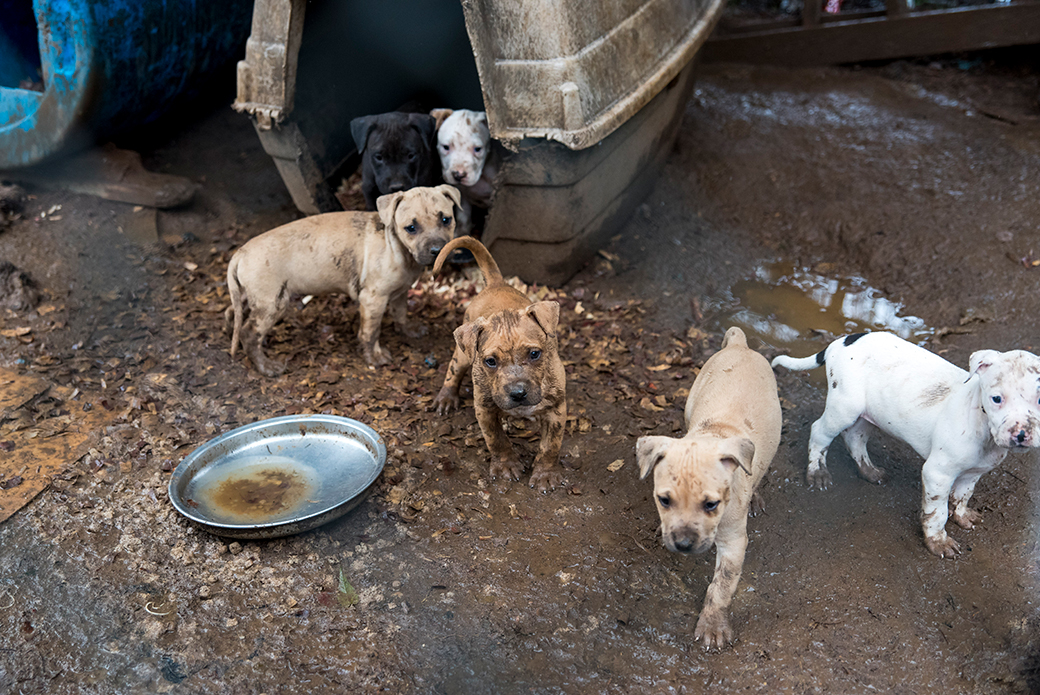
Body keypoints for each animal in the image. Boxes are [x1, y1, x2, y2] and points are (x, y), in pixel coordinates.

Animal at [227, 184, 459, 374]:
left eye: (446, 220)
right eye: (411, 228)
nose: (438, 250)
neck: (396, 247)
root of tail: (240, 253)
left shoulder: (400, 293)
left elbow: (401, 313)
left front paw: (409, 330)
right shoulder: (373, 300)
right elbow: (370, 332)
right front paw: (374, 357)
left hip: (254, 296)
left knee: (236, 310)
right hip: (272, 303)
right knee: (249, 334)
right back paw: (266, 366)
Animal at [426, 108, 499, 236]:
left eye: (478, 149)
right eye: (445, 147)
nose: (459, 175)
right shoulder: (462, 196)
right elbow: (463, 218)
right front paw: (461, 233)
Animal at [428, 236, 565, 491]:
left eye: (534, 354)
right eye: (490, 361)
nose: (518, 393)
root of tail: (496, 283)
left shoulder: (556, 410)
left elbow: (551, 446)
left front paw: (545, 473)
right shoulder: (485, 409)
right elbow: (497, 440)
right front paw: (506, 465)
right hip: (462, 356)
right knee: (453, 371)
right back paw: (446, 398)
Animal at [632, 328, 782, 649]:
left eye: (711, 505)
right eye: (664, 500)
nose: (683, 544)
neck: (714, 435)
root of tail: (740, 345)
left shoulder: (734, 543)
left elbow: (721, 586)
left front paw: (713, 623)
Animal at [769, 330, 1040, 557]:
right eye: (997, 398)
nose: (1021, 434)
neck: (982, 425)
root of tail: (845, 339)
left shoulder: (973, 473)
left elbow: (963, 496)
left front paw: (962, 516)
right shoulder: (937, 474)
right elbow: (937, 512)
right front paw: (938, 542)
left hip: (870, 413)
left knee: (855, 437)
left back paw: (869, 471)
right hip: (844, 408)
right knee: (819, 432)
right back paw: (817, 472)